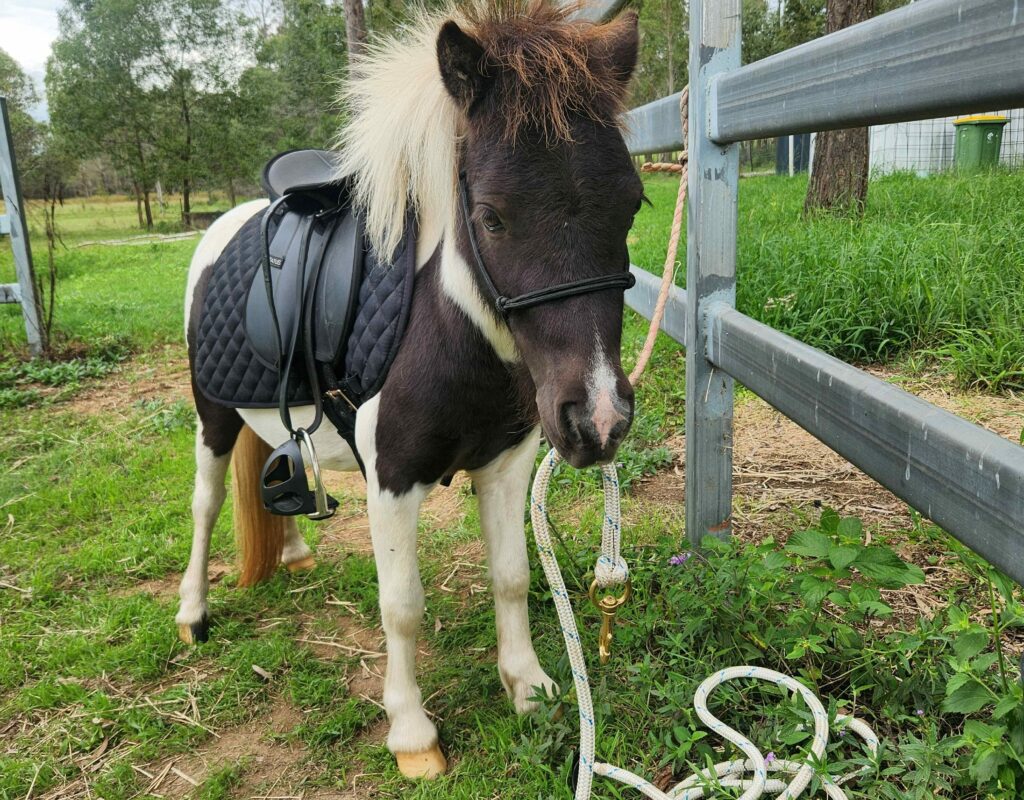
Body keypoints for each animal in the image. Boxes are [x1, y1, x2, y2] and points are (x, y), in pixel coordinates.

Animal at [178, 0, 642, 778]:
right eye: (491, 217)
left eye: (633, 205)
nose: (599, 418)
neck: (447, 326)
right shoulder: (392, 479)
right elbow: (402, 607)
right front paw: (412, 733)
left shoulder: (506, 467)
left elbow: (512, 576)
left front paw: (529, 688)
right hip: (213, 417)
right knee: (207, 505)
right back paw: (192, 613)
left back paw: (294, 553)